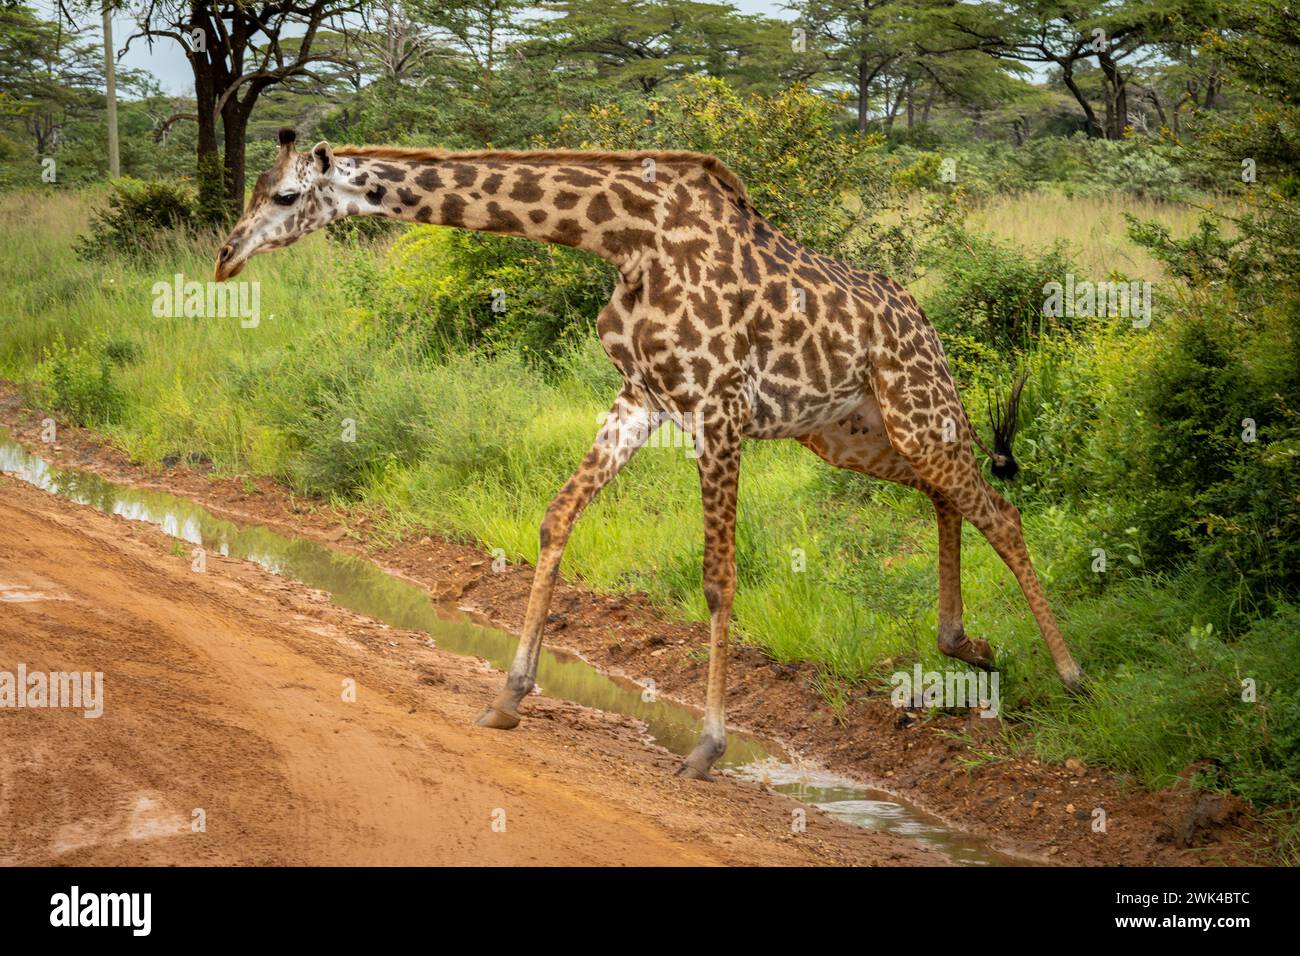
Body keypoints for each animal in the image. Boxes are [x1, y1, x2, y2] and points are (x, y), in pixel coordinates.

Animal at [215, 130, 1086, 780]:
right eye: (256, 188)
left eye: (284, 196)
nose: (224, 257)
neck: (624, 236)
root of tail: (925, 322)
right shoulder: (643, 396)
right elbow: (557, 515)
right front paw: (508, 695)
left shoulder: (719, 408)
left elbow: (717, 575)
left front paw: (706, 745)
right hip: (854, 433)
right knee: (951, 496)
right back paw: (965, 644)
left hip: (915, 409)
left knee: (999, 509)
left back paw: (1071, 676)